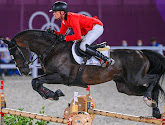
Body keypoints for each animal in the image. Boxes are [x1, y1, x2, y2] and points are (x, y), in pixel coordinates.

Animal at [1, 29, 165, 118]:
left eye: (14, 53)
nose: (23, 71)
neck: (51, 49)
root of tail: (141, 52)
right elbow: (35, 82)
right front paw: (52, 95)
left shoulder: (61, 77)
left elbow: (35, 81)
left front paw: (53, 95)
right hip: (125, 86)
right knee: (152, 89)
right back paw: (155, 109)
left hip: (136, 78)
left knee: (154, 79)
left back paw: (148, 100)